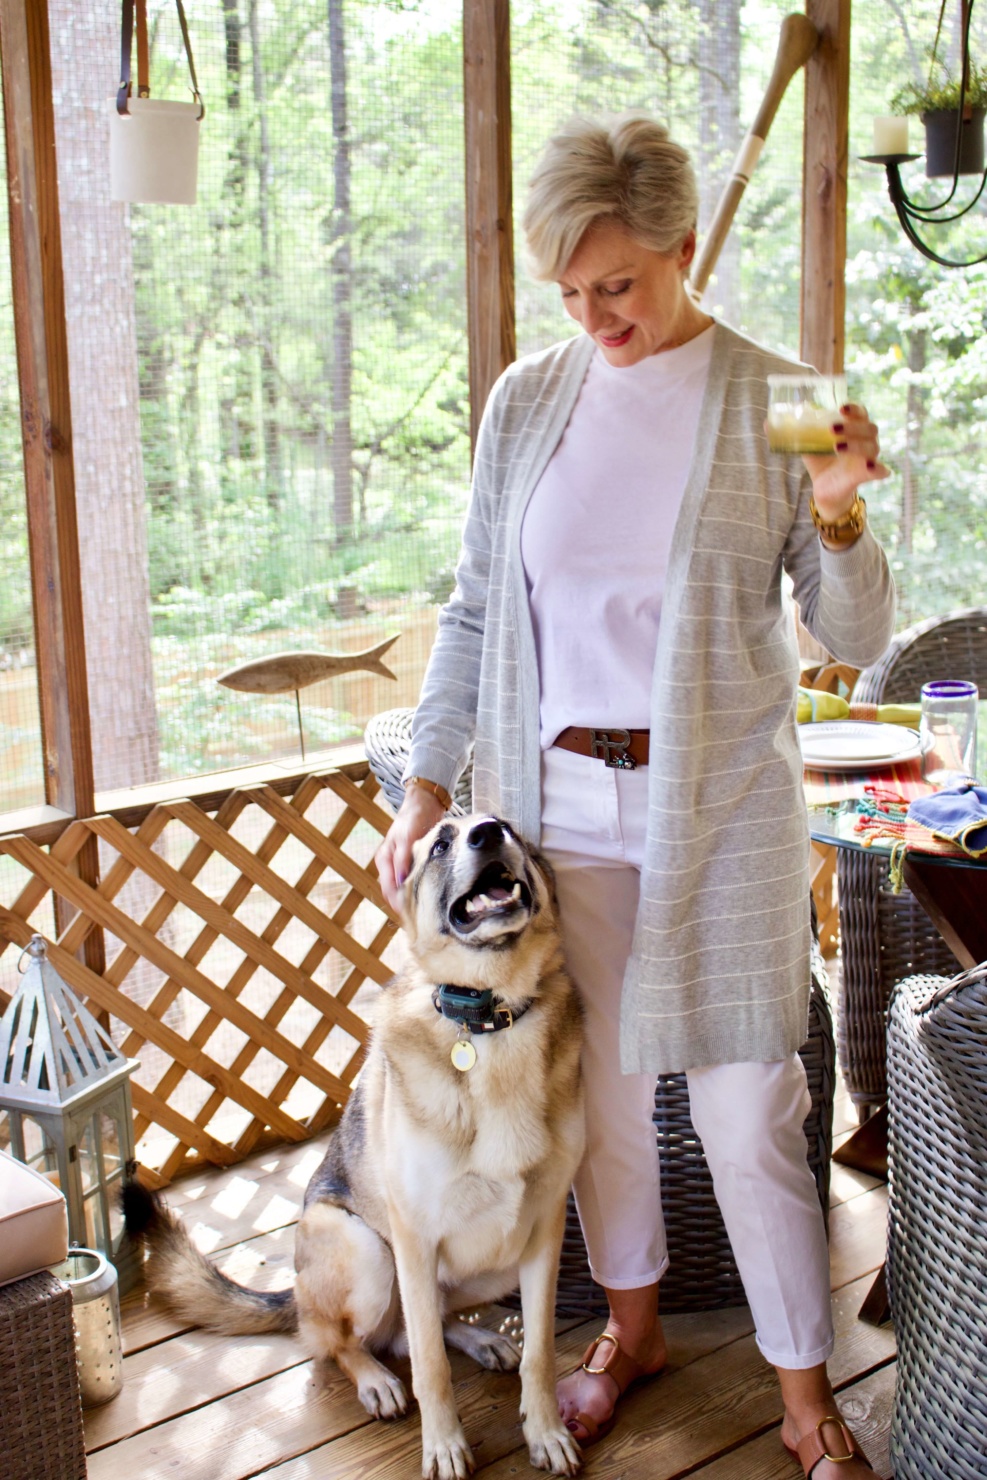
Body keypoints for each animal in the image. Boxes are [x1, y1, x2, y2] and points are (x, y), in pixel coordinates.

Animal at [123, 816, 585, 1474]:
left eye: (510, 831)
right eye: (441, 843)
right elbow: (431, 1368)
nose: (489, 833)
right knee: (347, 1342)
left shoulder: (543, 1231)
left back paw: (480, 1339)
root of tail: (297, 1297)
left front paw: (544, 1431)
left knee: (422, 1323)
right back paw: (374, 1379)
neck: (489, 1020)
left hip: (494, 1262)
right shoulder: (414, 1241)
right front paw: (444, 1445)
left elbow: (539, 1353)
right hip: (365, 1250)